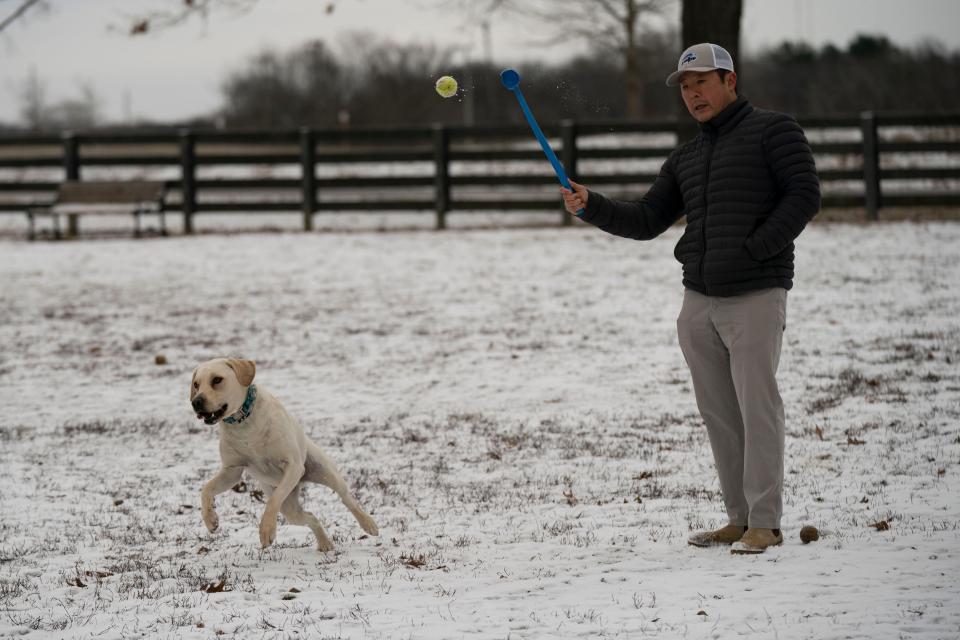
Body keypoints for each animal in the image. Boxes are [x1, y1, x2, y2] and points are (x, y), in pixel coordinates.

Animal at [189, 358, 376, 552]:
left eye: (217, 380)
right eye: (196, 384)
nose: (196, 402)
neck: (243, 422)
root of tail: (301, 483)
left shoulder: (293, 466)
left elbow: (272, 501)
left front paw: (266, 530)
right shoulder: (232, 470)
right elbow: (206, 489)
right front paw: (210, 519)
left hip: (323, 472)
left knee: (346, 498)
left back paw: (369, 524)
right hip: (290, 508)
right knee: (310, 517)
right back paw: (325, 543)